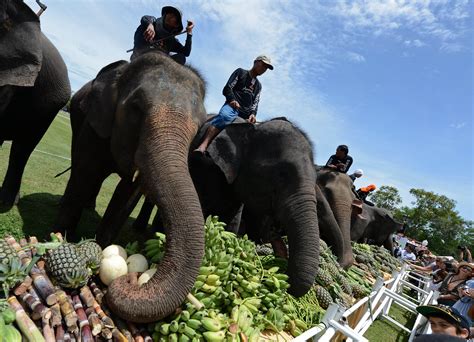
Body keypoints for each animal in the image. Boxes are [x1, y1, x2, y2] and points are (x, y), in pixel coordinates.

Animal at [54, 51, 206, 324]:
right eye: (136, 107)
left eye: (199, 129)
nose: (131, 278)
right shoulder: (94, 125)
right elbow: (85, 172)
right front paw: (62, 237)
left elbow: (128, 193)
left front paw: (102, 246)